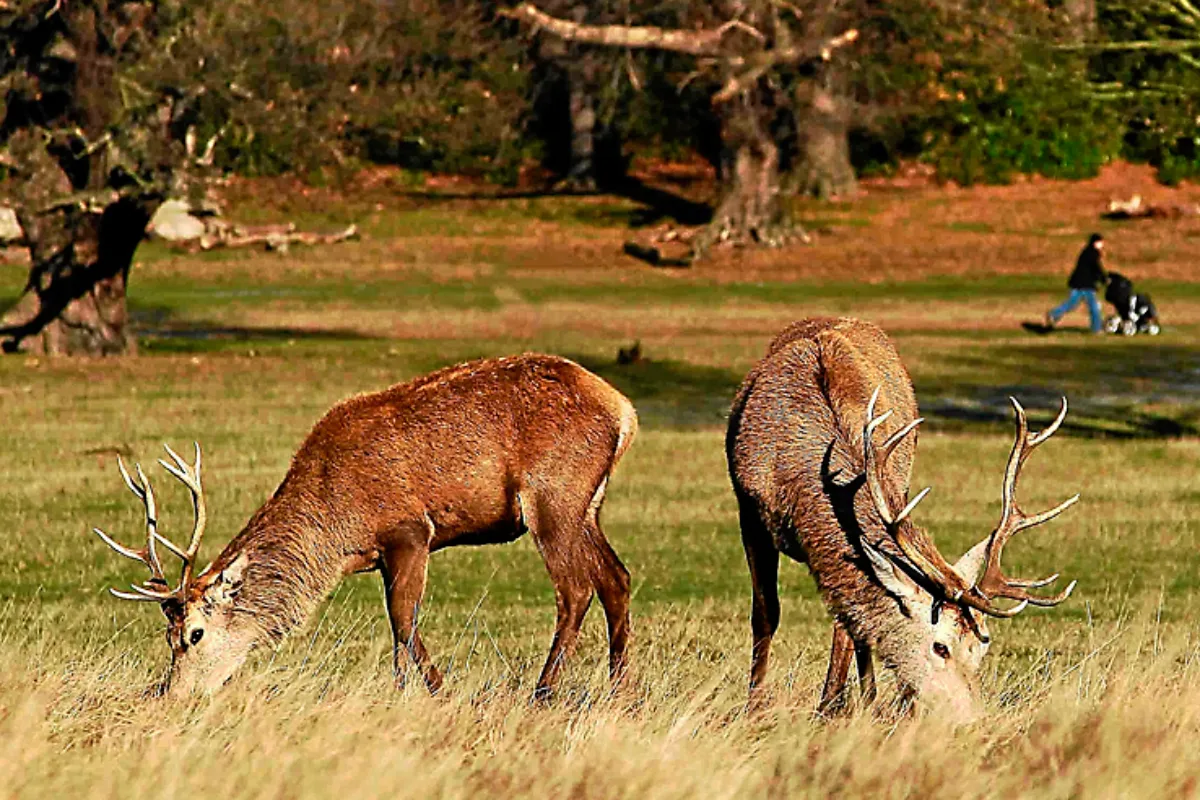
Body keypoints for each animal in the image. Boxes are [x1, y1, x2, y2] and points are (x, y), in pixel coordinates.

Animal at [92, 354, 638, 700]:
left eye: (194, 634)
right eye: (167, 638)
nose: (171, 694)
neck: (336, 533)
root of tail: (624, 411)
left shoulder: (409, 530)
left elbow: (403, 621)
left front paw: (430, 693)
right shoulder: (380, 555)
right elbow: (398, 624)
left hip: (553, 496)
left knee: (575, 590)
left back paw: (543, 693)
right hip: (589, 504)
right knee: (617, 579)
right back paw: (619, 691)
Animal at [726, 317, 1078, 722]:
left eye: (981, 649)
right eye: (941, 647)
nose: (974, 719)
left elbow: (850, 622)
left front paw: (834, 707)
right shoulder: (749, 509)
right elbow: (766, 613)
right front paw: (755, 708)